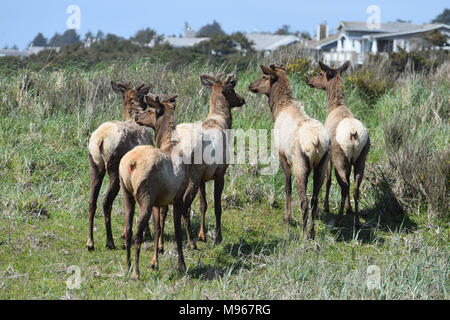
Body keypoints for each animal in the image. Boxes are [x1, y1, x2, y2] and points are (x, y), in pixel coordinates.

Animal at [86, 81, 153, 251]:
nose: (146, 105)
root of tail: (100, 140)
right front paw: (145, 232)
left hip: (95, 166)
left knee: (92, 202)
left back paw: (90, 242)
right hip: (115, 171)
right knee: (106, 202)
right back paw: (110, 242)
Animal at [118, 94, 187, 278]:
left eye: (149, 110)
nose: (137, 116)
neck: (169, 143)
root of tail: (130, 164)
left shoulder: (158, 201)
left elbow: (157, 229)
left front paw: (154, 263)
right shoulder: (177, 197)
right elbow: (177, 231)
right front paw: (181, 265)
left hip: (126, 193)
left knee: (128, 229)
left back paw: (127, 266)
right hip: (145, 196)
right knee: (137, 233)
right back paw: (136, 272)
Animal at [250, 63, 330, 239]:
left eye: (264, 76)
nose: (250, 85)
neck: (278, 109)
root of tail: (317, 142)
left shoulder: (282, 155)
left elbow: (287, 186)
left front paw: (288, 217)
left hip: (301, 165)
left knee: (304, 200)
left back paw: (304, 234)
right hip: (322, 166)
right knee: (315, 199)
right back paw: (312, 232)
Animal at [304, 61, 370, 226]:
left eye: (321, 73)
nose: (308, 80)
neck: (335, 106)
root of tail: (353, 133)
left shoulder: (328, 158)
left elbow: (328, 181)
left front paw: (326, 206)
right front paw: (348, 209)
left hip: (340, 158)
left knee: (344, 185)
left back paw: (339, 219)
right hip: (361, 159)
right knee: (355, 187)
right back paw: (356, 220)